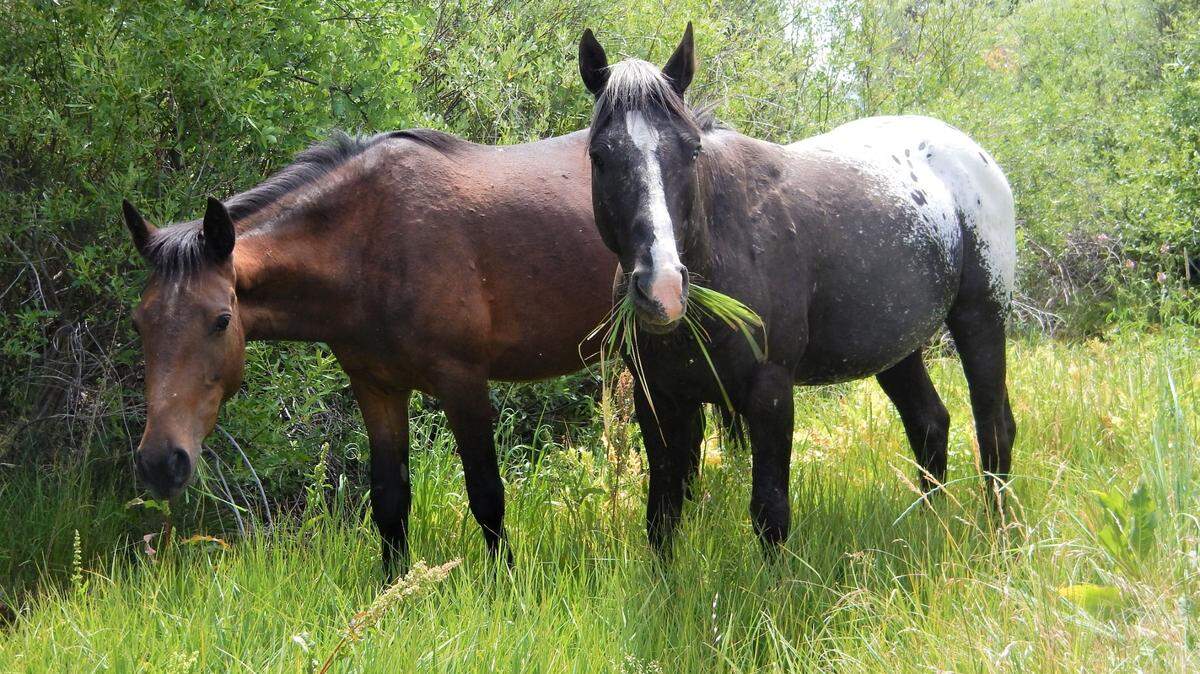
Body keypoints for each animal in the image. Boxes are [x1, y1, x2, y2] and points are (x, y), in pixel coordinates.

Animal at [121, 128, 616, 577]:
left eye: (222, 320)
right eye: (138, 323)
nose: (160, 462)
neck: (372, 243)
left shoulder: (463, 383)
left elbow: (487, 495)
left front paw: (503, 583)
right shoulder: (376, 388)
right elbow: (389, 501)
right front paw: (394, 588)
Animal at [577, 24, 1017, 553]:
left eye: (692, 150)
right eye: (599, 156)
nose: (661, 289)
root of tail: (972, 155)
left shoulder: (770, 394)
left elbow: (770, 512)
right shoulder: (659, 400)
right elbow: (662, 514)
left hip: (981, 318)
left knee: (995, 429)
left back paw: (1001, 539)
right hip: (896, 347)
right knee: (929, 423)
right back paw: (932, 525)